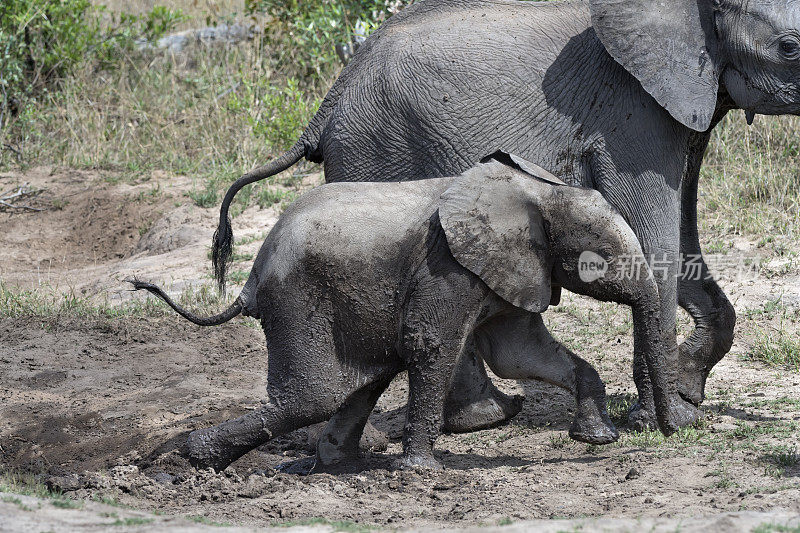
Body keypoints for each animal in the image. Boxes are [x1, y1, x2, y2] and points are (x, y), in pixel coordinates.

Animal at [133, 153, 680, 470]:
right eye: (598, 259)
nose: (669, 431)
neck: (535, 191)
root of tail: (250, 278)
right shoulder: (448, 266)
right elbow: (432, 344)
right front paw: (421, 472)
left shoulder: (509, 269)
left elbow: (520, 353)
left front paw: (597, 439)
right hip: (297, 300)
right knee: (311, 397)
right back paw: (188, 460)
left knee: (358, 385)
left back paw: (337, 463)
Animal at [209, 0, 796, 430]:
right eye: (790, 48)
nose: (682, 412)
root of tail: (327, 104)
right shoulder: (634, 112)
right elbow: (657, 241)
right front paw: (663, 419)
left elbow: (685, 237)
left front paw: (687, 393)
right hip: (377, 150)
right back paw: (483, 420)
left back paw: (485, 416)